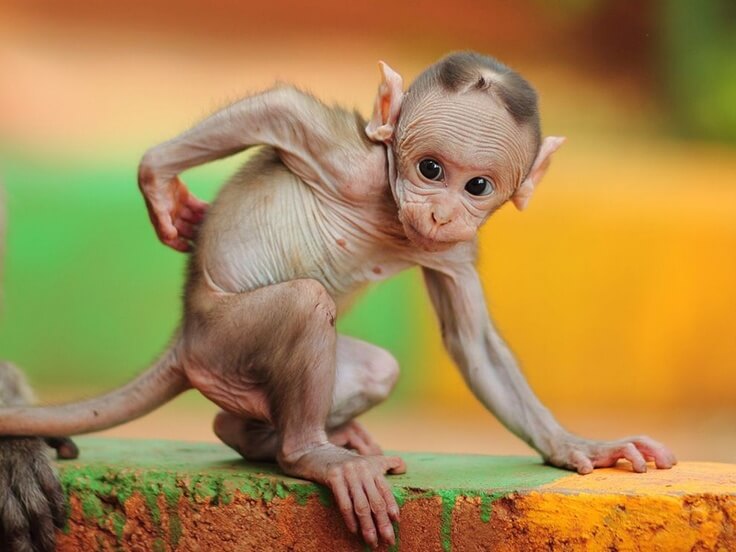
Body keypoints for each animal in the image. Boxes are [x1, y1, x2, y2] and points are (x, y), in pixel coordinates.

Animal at [0, 52, 676, 548]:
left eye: (477, 186)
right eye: (430, 169)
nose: (440, 211)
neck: (393, 214)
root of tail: (185, 332)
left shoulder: (456, 247)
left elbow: (473, 344)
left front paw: (574, 446)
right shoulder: (352, 163)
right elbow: (281, 108)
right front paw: (157, 179)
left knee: (371, 369)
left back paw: (261, 434)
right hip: (219, 342)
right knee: (304, 304)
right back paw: (311, 454)